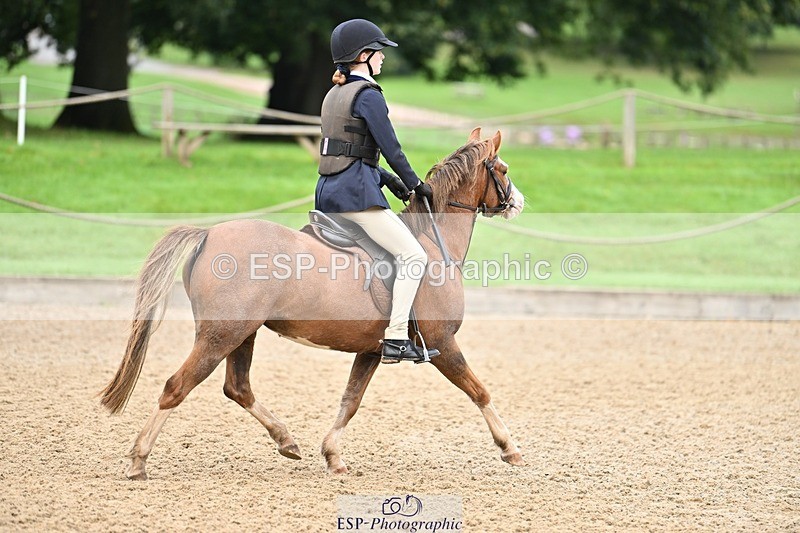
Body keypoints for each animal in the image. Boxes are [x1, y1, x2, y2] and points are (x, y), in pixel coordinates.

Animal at [100, 127, 526, 479]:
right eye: (503, 169)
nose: (518, 202)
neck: (433, 242)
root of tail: (209, 235)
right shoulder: (442, 344)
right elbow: (479, 391)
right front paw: (510, 448)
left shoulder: (371, 350)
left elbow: (350, 401)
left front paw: (333, 456)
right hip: (220, 335)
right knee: (177, 387)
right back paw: (139, 460)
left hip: (242, 334)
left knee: (238, 388)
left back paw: (286, 440)